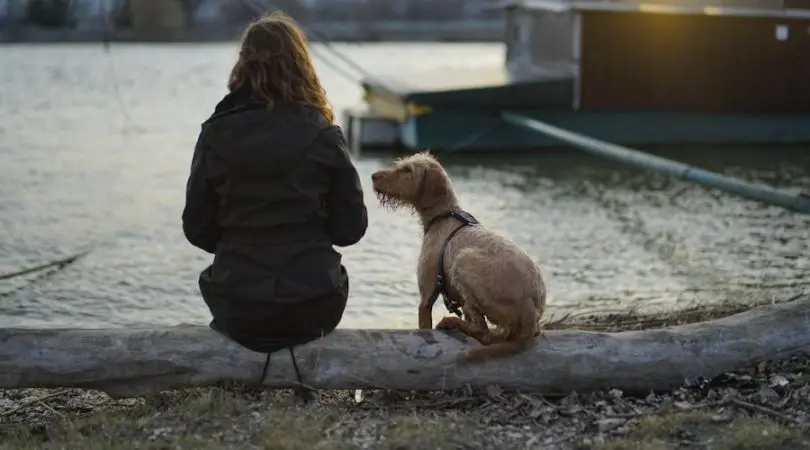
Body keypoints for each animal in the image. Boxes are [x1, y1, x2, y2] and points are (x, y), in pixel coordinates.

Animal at [370, 151, 548, 362]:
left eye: (407, 170)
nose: (373, 176)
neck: (444, 216)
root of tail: (529, 306)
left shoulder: (426, 297)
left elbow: (424, 325)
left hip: (463, 261)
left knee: (483, 333)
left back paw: (452, 322)